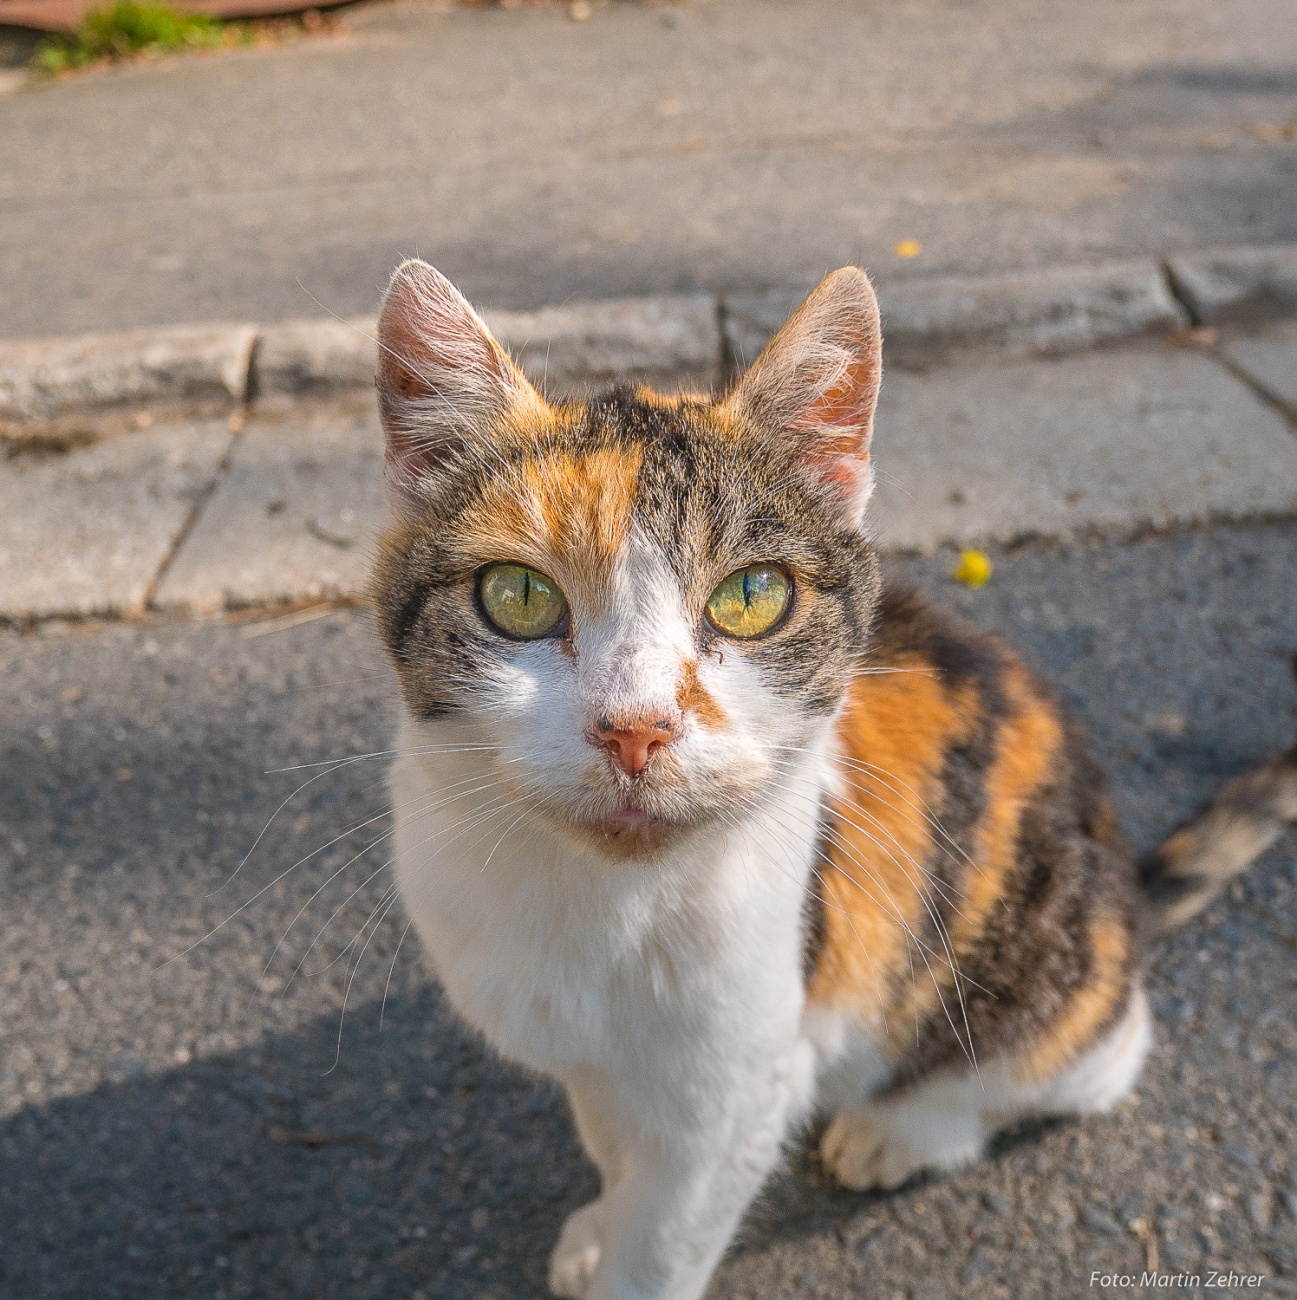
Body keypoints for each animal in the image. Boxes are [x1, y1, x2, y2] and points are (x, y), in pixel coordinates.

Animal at [369, 258, 1297, 1294]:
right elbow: (612, 1144)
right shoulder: (590, 1060)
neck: (593, 906)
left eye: (750, 595)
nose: (635, 729)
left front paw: (624, 1250)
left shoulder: (741, 1086)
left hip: (1041, 975)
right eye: (519, 596)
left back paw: (900, 1133)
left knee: (1092, 1053)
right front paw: (598, 1227)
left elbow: (664, 1242)